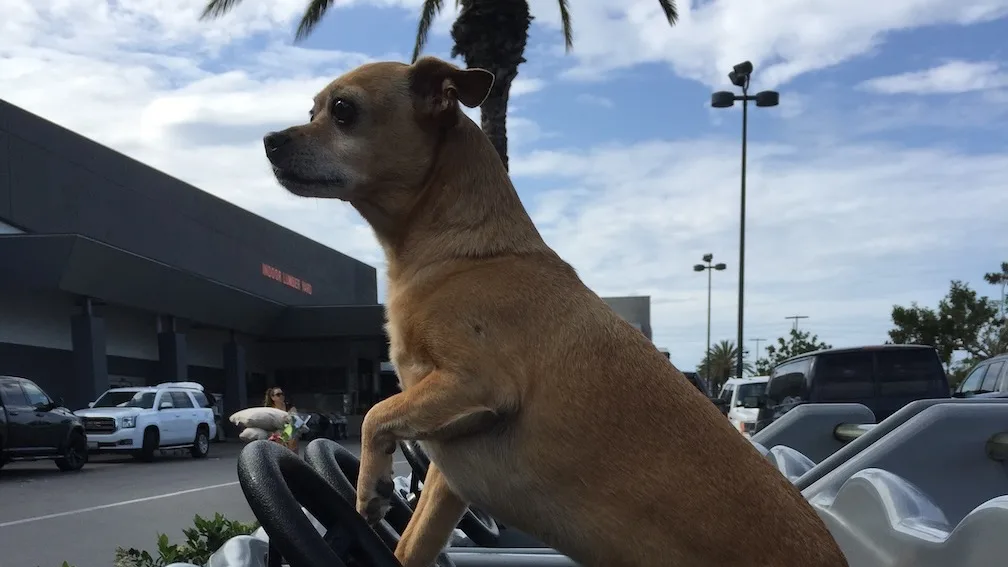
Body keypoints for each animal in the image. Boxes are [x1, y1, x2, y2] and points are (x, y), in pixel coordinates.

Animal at [262, 56, 850, 564]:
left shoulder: (477, 381)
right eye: (312, 110)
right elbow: (411, 538)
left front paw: (369, 485)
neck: (460, 253)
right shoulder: (447, 478)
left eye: (343, 110)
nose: (268, 140)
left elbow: (374, 413)